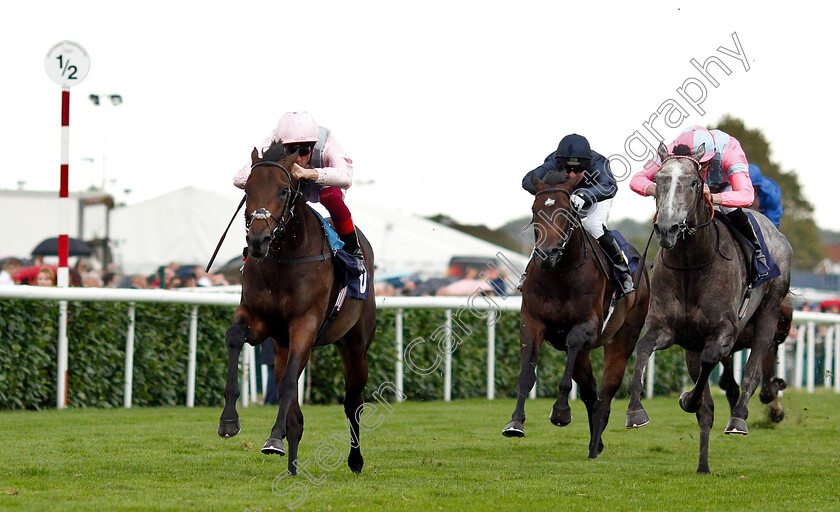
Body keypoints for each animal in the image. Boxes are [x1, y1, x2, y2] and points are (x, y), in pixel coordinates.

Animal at [217, 142, 378, 474]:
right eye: (248, 189)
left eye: (283, 190)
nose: (258, 240)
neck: (285, 258)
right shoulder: (259, 320)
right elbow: (234, 338)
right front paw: (228, 420)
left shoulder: (305, 324)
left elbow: (290, 384)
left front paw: (273, 438)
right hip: (281, 345)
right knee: (294, 405)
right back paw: (291, 464)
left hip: (355, 344)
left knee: (353, 403)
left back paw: (355, 460)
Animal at [502, 169, 652, 460]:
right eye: (535, 210)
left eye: (567, 211)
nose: (547, 254)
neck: (560, 274)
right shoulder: (532, 321)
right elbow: (526, 372)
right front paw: (515, 422)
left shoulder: (586, 326)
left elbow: (571, 358)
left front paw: (560, 411)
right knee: (591, 391)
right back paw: (597, 441)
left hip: (623, 337)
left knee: (607, 390)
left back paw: (600, 442)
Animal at [624, 142, 796, 474]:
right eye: (659, 180)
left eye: (694, 183)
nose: (668, 228)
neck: (692, 264)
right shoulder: (665, 327)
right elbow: (642, 348)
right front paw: (636, 411)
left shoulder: (724, 332)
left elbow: (711, 364)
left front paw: (689, 399)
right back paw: (703, 465)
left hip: (769, 313)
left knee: (754, 371)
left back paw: (739, 418)